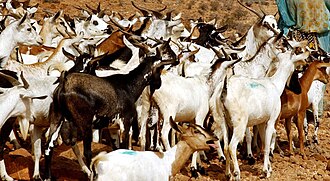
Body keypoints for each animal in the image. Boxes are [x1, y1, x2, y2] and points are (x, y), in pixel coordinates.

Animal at [45, 48, 177, 180]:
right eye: (160, 68)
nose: (159, 83)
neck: (128, 85)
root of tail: (64, 84)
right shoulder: (125, 122)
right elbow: (124, 147)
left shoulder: (112, 128)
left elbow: (116, 148)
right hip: (85, 124)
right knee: (87, 152)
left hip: (57, 118)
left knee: (48, 146)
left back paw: (47, 177)